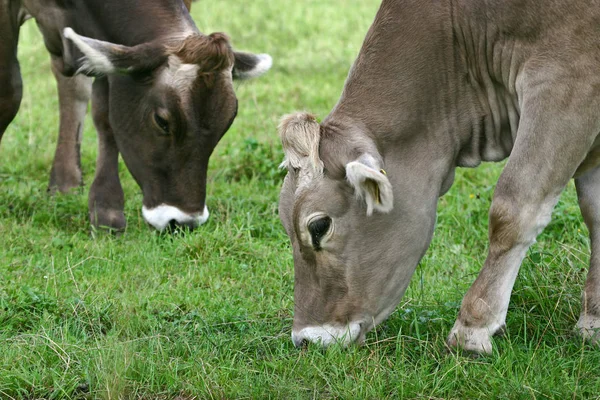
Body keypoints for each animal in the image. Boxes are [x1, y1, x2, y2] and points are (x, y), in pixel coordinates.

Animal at [0, 0, 272, 231]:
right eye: (162, 121)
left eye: (227, 123)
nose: (184, 222)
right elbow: (10, 93)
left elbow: (105, 112)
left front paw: (106, 208)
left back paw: (65, 182)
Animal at [278, 0, 600, 356]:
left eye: (319, 227)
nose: (305, 339)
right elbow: (595, 211)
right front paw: (594, 322)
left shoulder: (566, 80)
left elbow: (514, 209)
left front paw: (472, 328)